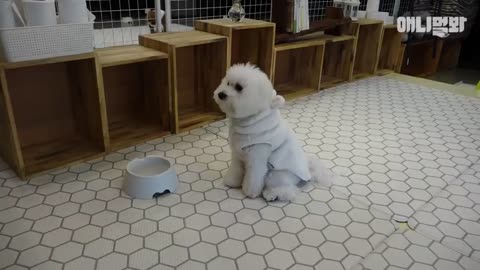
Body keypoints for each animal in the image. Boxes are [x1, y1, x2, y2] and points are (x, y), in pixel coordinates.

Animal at [214, 62, 334, 199]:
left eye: (239, 87)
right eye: (228, 83)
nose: (221, 94)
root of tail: (308, 171)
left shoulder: (257, 157)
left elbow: (254, 177)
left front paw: (250, 192)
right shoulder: (237, 153)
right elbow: (235, 169)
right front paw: (232, 181)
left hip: (276, 175)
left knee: (288, 190)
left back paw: (272, 194)